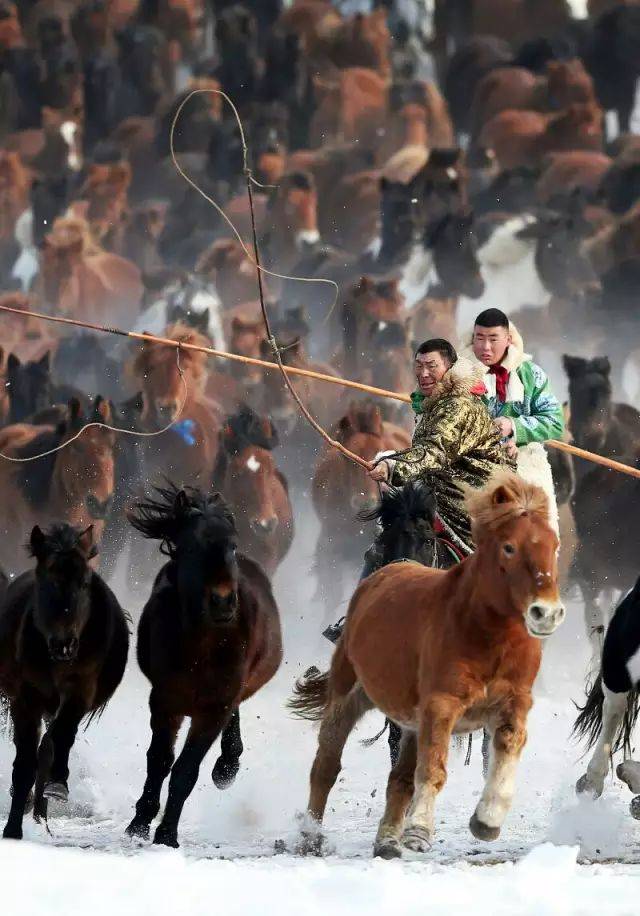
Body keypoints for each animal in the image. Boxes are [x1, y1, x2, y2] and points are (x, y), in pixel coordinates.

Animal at [0, 524, 129, 836]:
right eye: (47, 581)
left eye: (84, 583)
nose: (65, 644)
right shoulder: (25, 698)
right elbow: (25, 761)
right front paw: (12, 830)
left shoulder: (80, 690)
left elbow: (60, 736)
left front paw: (57, 785)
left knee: (50, 744)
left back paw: (41, 814)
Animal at [126, 484, 282, 848]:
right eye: (190, 546)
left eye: (232, 545)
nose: (223, 601)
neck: (201, 646)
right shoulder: (165, 701)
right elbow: (159, 761)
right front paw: (140, 822)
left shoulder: (213, 707)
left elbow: (185, 771)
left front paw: (167, 835)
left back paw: (226, 767)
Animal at [292, 472, 564, 860]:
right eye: (509, 547)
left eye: (554, 546)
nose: (546, 612)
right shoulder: (440, 703)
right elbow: (432, 769)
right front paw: (418, 831)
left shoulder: (513, 703)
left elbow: (503, 749)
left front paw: (486, 820)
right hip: (348, 695)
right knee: (327, 764)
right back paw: (311, 836)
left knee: (400, 775)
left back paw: (387, 840)